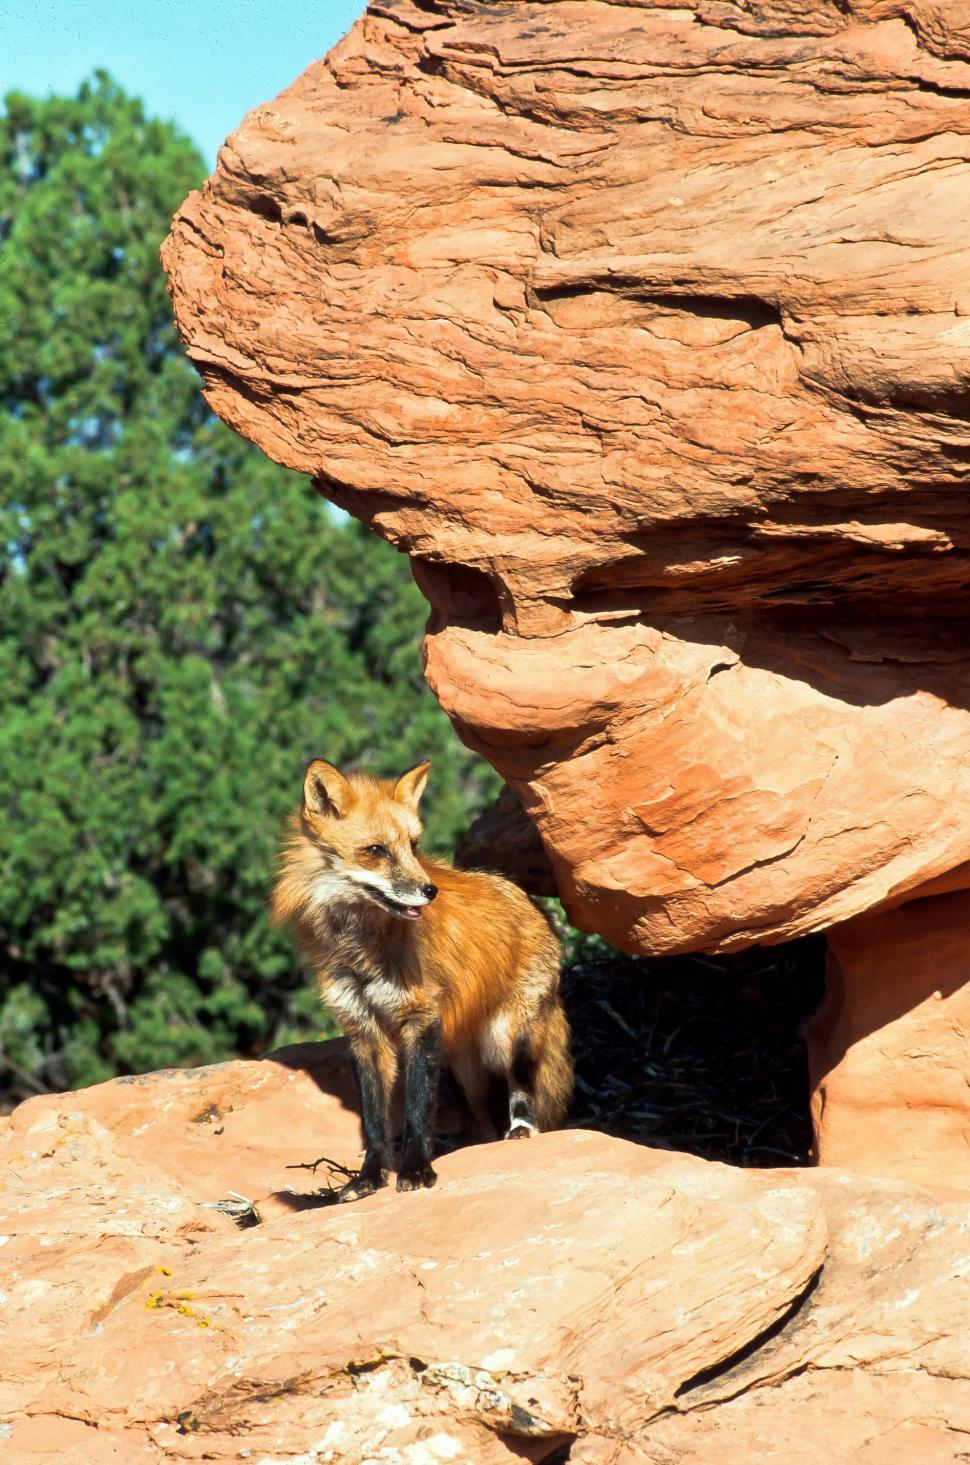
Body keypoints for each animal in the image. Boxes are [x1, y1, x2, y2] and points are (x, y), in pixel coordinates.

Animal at [271, 758, 573, 1200]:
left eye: (413, 846)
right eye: (376, 851)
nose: (430, 891)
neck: (361, 953)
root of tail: (533, 904)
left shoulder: (421, 1018)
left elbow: (415, 1110)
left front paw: (416, 1170)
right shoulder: (362, 1030)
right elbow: (375, 1120)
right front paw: (370, 1177)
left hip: (505, 1036)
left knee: (521, 1084)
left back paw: (521, 1128)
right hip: (461, 1066)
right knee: (481, 1118)